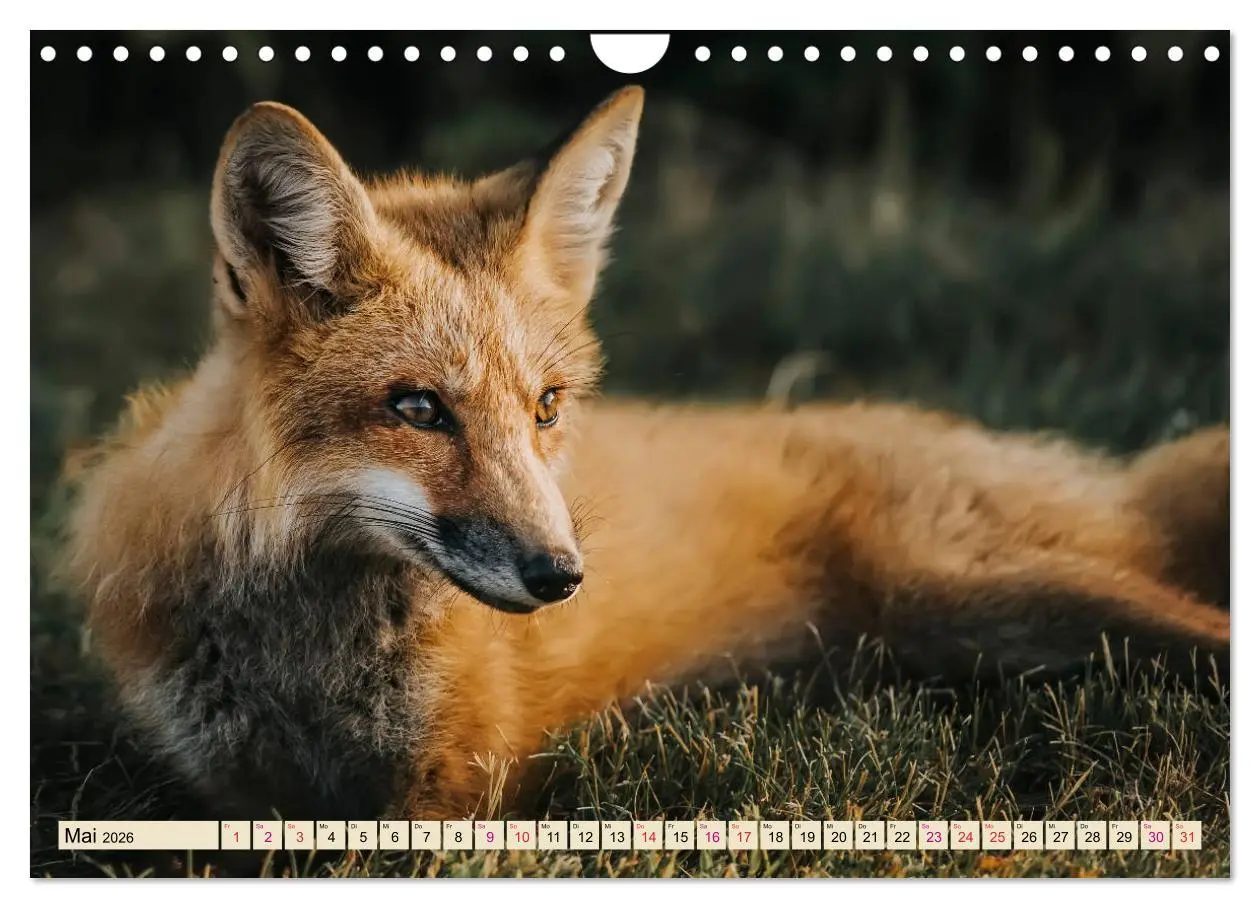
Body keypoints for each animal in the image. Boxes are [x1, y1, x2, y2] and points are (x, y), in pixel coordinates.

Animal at [62, 86, 1230, 822]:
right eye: (419, 407)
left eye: (546, 406)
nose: (562, 575)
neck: (311, 661)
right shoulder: (232, 795)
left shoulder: (459, 789)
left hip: (991, 595)